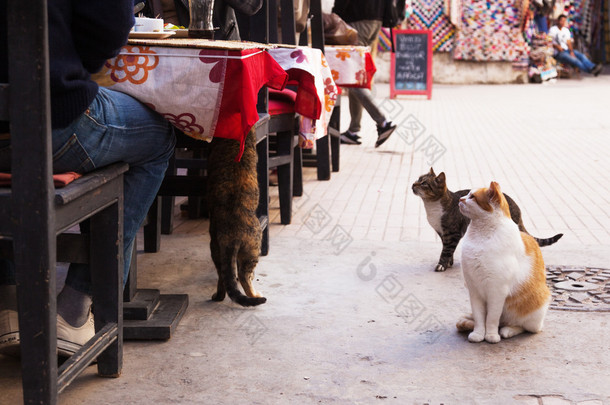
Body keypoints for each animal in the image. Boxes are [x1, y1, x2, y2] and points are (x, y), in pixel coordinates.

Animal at [207, 129, 266, 306]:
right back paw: (255, 295)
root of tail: (232, 236)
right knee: (244, 277)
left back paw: (217, 296)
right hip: (253, 250)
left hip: (216, 250)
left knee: (223, 277)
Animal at [408, 167, 560, 272]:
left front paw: (441, 265)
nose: (413, 184)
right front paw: (449, 263)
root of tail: (516, 206)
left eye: (424, 183)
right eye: (418, 179)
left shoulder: (452, 233)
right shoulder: (442, 233)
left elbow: (446, 250)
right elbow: (447, 250)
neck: (432, 206)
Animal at [456, 181, 552, 342]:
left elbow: (491, 318)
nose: (460, 199)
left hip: (535, 310)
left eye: (472, 197)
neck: (480, 236)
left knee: (521, 326)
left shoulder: (497, 291)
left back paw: (507, 331)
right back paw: (466, 323)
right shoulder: (474, 290)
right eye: (467, 194)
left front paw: (491, 335)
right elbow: (480, 317)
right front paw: (478, 333)